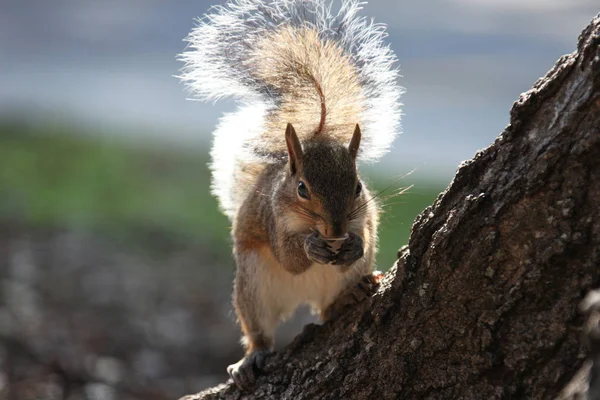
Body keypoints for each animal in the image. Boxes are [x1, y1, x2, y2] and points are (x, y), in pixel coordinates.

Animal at [179, 0, 404, 390]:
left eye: (358, 186)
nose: (335, 232)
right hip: (253, 286)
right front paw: (309, 248)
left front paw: (354, 244)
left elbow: (367, 233)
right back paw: (252, 357)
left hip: (341, 279)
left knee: (327, 309)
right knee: (259, 332)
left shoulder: (364, 215)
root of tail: (303, 297)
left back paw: (347, 297)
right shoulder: (273, 220)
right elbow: (289, 257)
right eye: (302, 189)